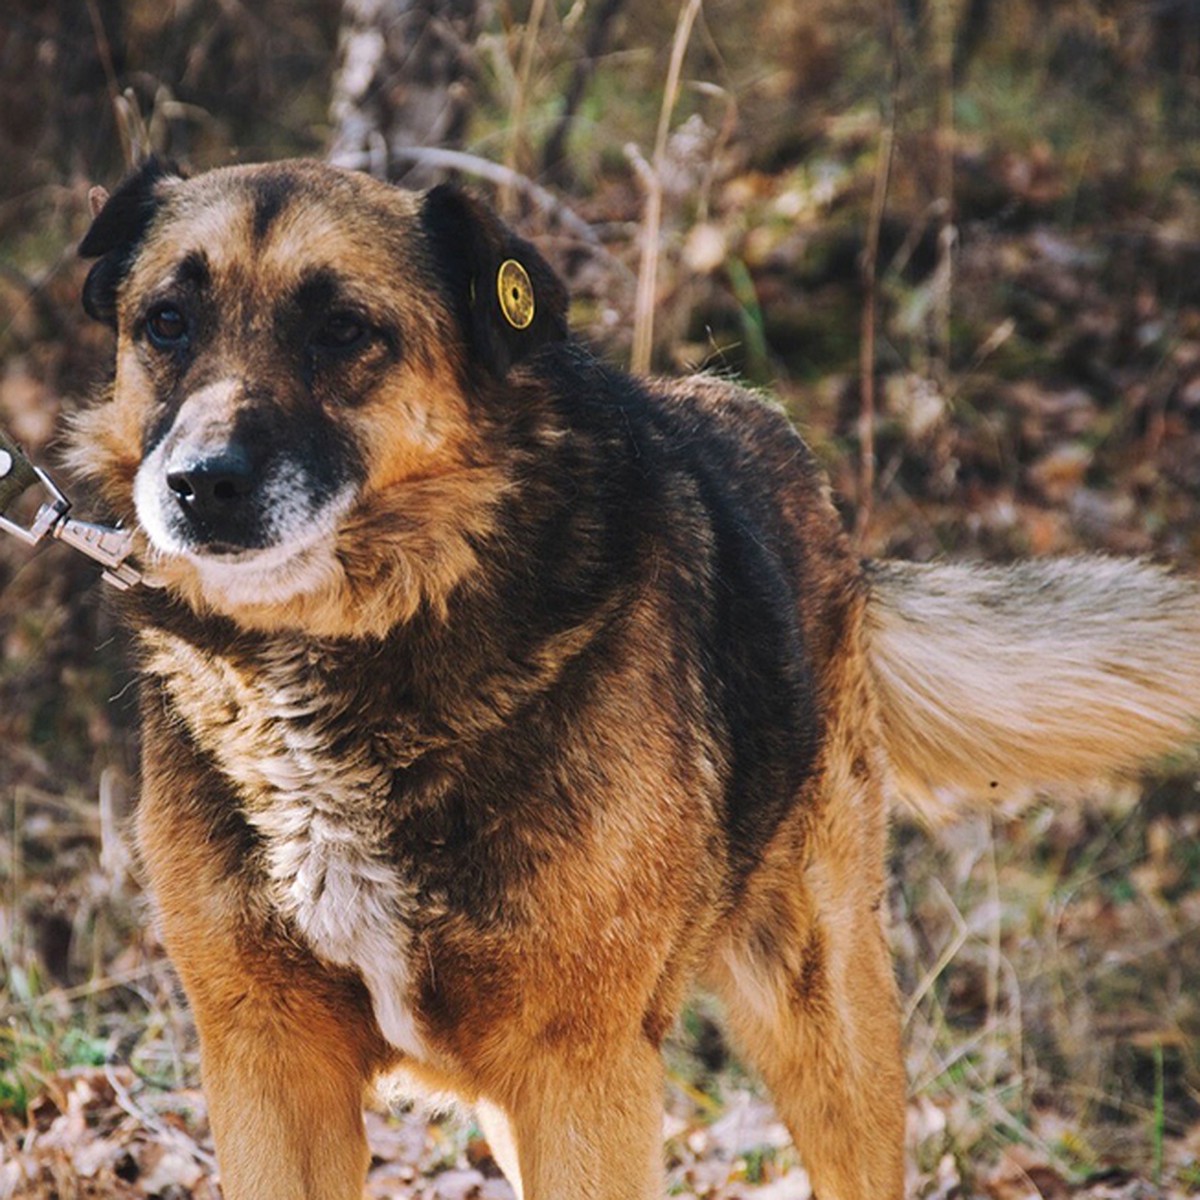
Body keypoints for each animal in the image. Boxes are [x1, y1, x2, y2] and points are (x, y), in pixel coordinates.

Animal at [68, 162, 1200, 1200]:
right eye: (166, 322)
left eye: (344, 331)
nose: (200, 486)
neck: (338, 658)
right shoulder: (271, 1065)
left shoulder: (582, 1068)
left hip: (820, 1009)